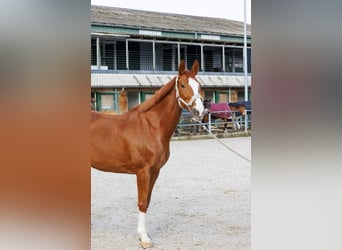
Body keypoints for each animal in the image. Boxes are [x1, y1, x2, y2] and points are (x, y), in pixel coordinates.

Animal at [91, 60, 204, 248]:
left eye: (200, 85)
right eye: (182, 85)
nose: (200, 112)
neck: (151, 126)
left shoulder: (155, 171)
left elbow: (148, 201)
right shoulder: (142, 171)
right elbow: (142, 202)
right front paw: (144, 238)